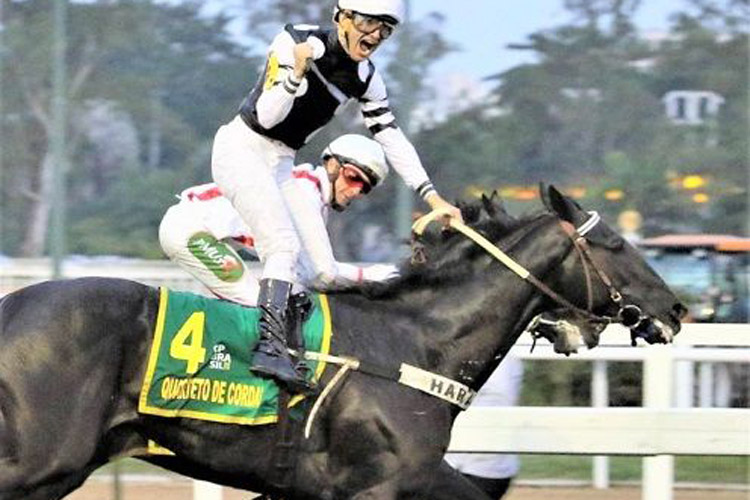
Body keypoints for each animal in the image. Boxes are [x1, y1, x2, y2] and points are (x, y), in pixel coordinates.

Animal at [0, 188, 688, 500]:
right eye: (617, 245)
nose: (677, 309)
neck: (415, 345)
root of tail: (12, 307)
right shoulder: (379, 485)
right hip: (42, 463)